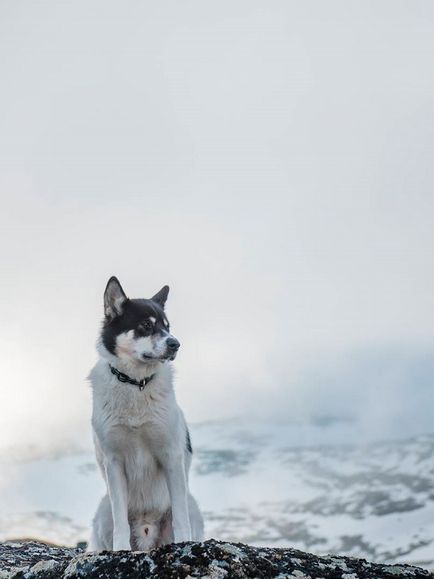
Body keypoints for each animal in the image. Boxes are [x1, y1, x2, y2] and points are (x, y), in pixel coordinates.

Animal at [88, 278, 205, 552]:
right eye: (145, 325)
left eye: (167, 326)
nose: (175, 344)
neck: (136, 383)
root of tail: (146, 533)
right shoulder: (114, 462)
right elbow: (120, 522)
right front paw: (120, 550)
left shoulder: (171, 456)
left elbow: (181, 519)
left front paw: (184, 544)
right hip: (104, 511)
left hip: (191, 505)